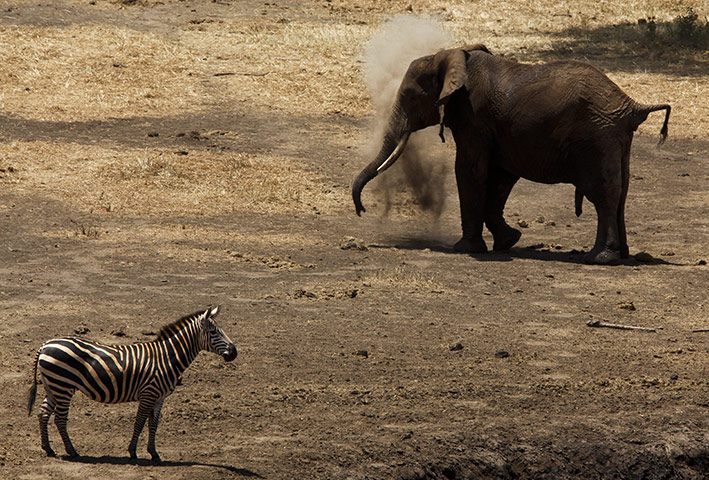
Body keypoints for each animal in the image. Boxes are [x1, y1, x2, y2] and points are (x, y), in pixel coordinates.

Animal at [352, 44, 671, 265]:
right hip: (615, 139)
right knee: (621, 195)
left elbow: (469, 170)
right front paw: (509, 240)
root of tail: (631, 106)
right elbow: (500, 177)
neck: (451, 54)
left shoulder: (473, 117)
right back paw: (622, 254)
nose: (361, 210)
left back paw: (599, 259)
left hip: (596, 138)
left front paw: (466, 250)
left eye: (409, 95)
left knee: (602, 196)